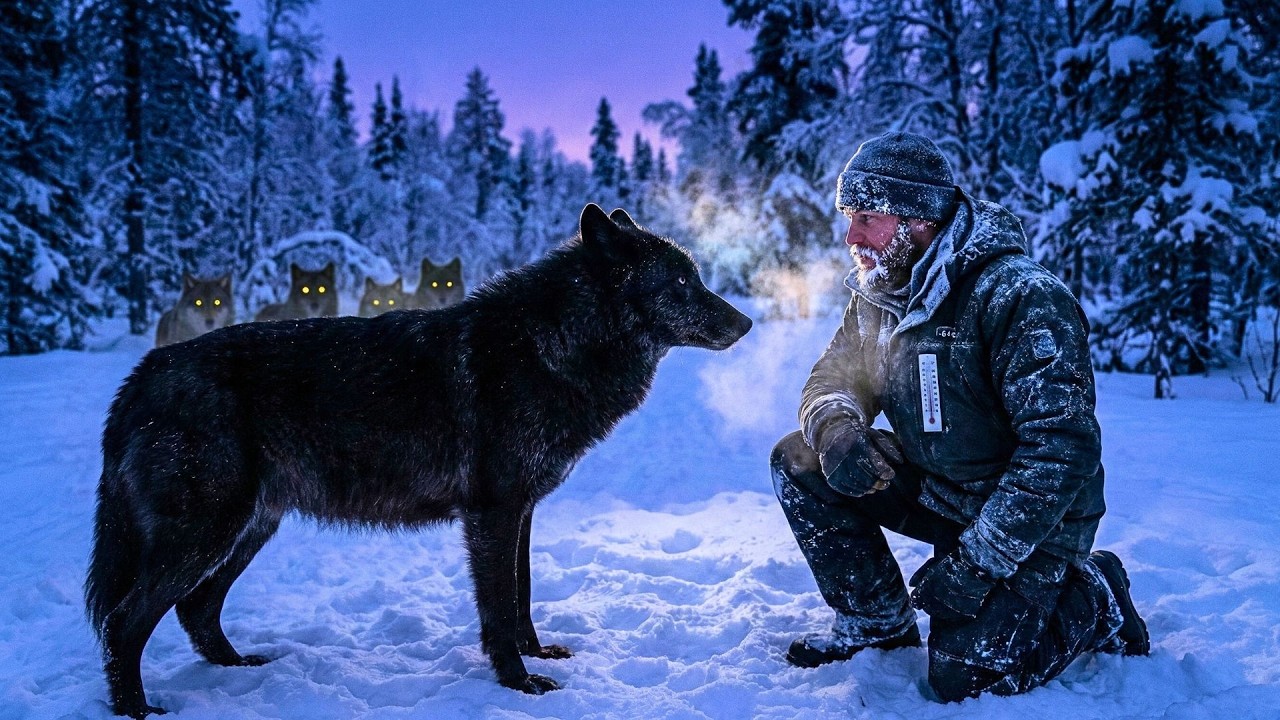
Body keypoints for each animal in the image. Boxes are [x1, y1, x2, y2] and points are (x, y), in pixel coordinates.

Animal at [86, 204, 752, 718]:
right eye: (681, 285)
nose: (745, 322)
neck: (549, 346)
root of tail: (141, 376)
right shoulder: (492, 512)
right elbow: (499, 606)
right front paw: (518, 681)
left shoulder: (522, 512)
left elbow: (523, 594)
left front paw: (535, 654)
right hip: (208, 532)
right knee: (125, 621)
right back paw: (137, 709)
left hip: (249, 529)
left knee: (196, 609)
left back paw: (240, 668)